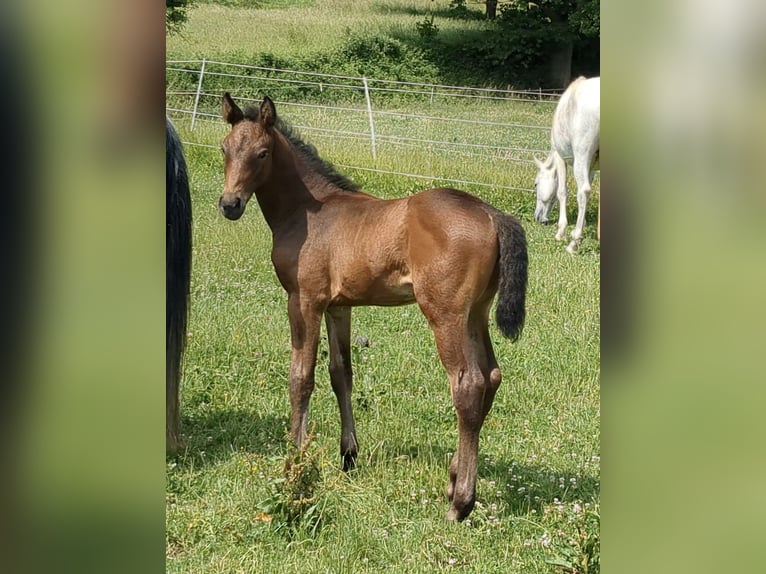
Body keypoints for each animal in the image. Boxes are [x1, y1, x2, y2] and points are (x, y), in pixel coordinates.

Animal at [217, 94, 528, 522]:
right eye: (225, 149)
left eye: (262, 153)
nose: (229, 204)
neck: (308, 211)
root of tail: (491, 214)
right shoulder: (339, 306)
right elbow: (340, 373)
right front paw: (348, 455)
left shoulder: (304, 300)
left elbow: (301, 377)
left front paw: (295, 461)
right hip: (475, 313)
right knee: (492, 376)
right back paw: (453, 478)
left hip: (444, 313)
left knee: (468, 384)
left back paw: (460, 503)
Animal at [534, 76, 600, 254]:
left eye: (536, 184)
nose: (537, 217)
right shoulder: (592, 166)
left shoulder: (560, 157)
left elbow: (562, 192)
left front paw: (561, 232)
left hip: (581, 155)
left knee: (583, 192)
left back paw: (573, 243)